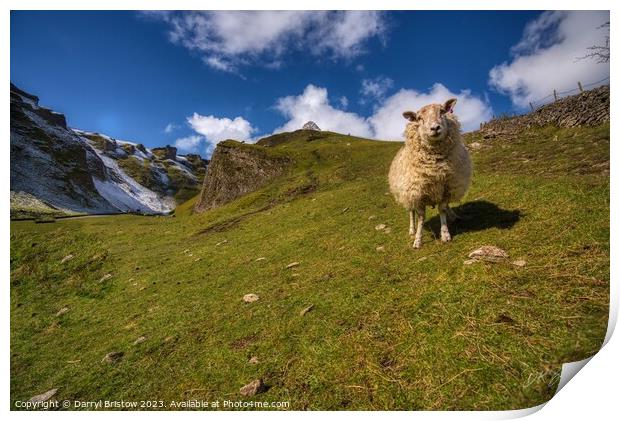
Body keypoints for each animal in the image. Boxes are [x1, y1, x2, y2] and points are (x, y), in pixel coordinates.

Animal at [390, 98, 472, 248]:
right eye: (419, 118)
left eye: (442, 111)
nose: (434, 128)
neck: (435, 168)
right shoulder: (418, 193)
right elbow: (421, 217)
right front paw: (418, 240)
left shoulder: (446, 187)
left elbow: (442, 209)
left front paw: (445, 234)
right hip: (408, 194)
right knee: (411, 212)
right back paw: (412, 230)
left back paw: (453, 216)